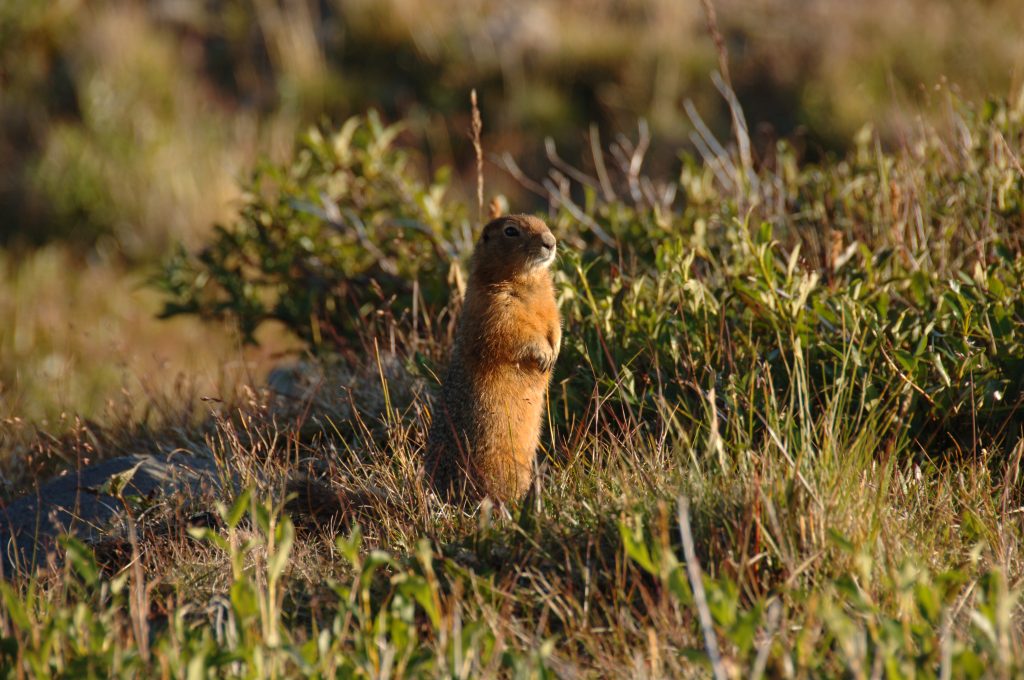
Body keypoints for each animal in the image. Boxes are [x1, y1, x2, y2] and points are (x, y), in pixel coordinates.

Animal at [425, 214, 561, 504]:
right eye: (511, 231)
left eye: (543, 222)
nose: (550, 241)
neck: (527, 281)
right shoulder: (497, 308)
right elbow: (513, 333)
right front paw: (543, 354)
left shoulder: (550, 303)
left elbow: (555, 323)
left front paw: (554, 350)